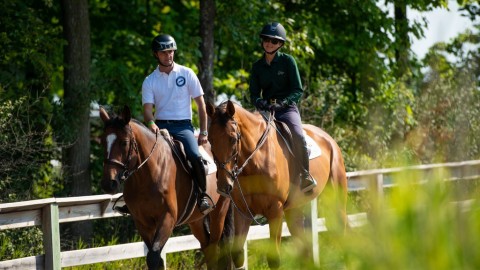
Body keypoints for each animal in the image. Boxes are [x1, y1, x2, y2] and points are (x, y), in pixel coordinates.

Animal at [99, 106, 232, 270]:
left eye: (124, 142)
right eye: (102, 142)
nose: (108, 183)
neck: (148, 174)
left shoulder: (167, 218)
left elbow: (154, 257)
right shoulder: (142, 222)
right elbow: (156, 259)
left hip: (219, 212)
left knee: (214, 247)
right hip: (196, 220)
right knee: (207, 246)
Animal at [206, 100, 348, 268]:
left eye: (233, 139)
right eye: (210, 140)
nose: (224, 185)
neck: (255, 161)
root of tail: (327, 138)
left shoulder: (275, 210)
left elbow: (274, 260)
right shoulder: (243, 211)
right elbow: (238, 255)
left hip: (335, 199)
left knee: (341, 229)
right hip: (294, 210)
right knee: (305, 250)